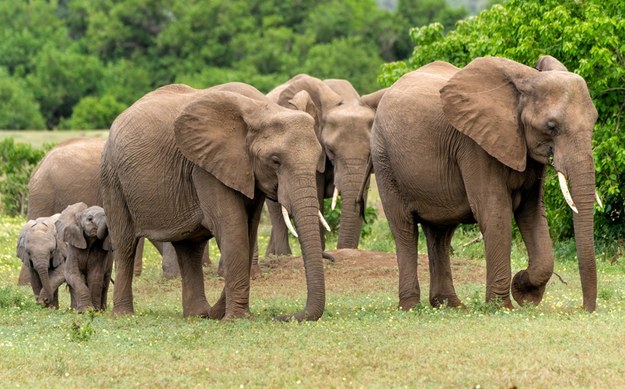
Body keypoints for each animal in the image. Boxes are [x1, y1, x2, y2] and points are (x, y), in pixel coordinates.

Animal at [98, 81, 326, 318]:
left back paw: (198, 314)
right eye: (275, 160)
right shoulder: (205, 167)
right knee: (125, 244)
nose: (284, 316)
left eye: (318, 156)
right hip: (112, 177)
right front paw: (237, 319)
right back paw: (124, 314)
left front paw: (230, 315)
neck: (262, 109)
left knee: (190, 249)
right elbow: (232, 227)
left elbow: (248, 229)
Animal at [370, 54, 600, 310]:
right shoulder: (475, 145)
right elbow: (494, 211)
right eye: (551, 126)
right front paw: (502, 307)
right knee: (404, 228)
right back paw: (411, 307)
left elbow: (531, 212)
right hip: (384, 159)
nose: (585, 309)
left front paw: (524, 292)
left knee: (440, 233)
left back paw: (451, 305)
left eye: (595, 121)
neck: (526, 80)